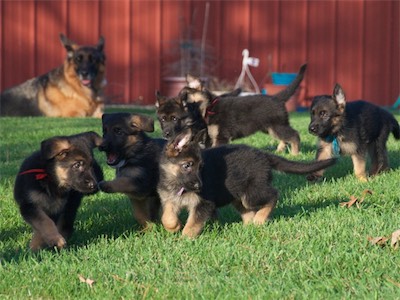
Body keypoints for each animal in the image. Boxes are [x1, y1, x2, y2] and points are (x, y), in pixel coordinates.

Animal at [158, 130, 336, 238]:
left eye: (201, 167)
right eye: (187, 165)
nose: (199, 187)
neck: (177, 184)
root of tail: (264, 155)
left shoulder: (203, 204)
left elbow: (193, 224)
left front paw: (185, 238)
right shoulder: (169, 200)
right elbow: (167, 217)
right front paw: (174, 227)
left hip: (251, 194)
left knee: (273, 195)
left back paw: (260, 219)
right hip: (239, 196)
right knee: (248, 212)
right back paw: (249, 226)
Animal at [178, 63, 306, 155]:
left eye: (184, 101)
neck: (210, 107)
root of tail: (277, 98)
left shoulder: (222, 136)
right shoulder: (213, 137)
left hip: (277, 125)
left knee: (294, 135)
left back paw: (295, 154)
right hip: (270, 127)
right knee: (285, 138)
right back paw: (279, 151)